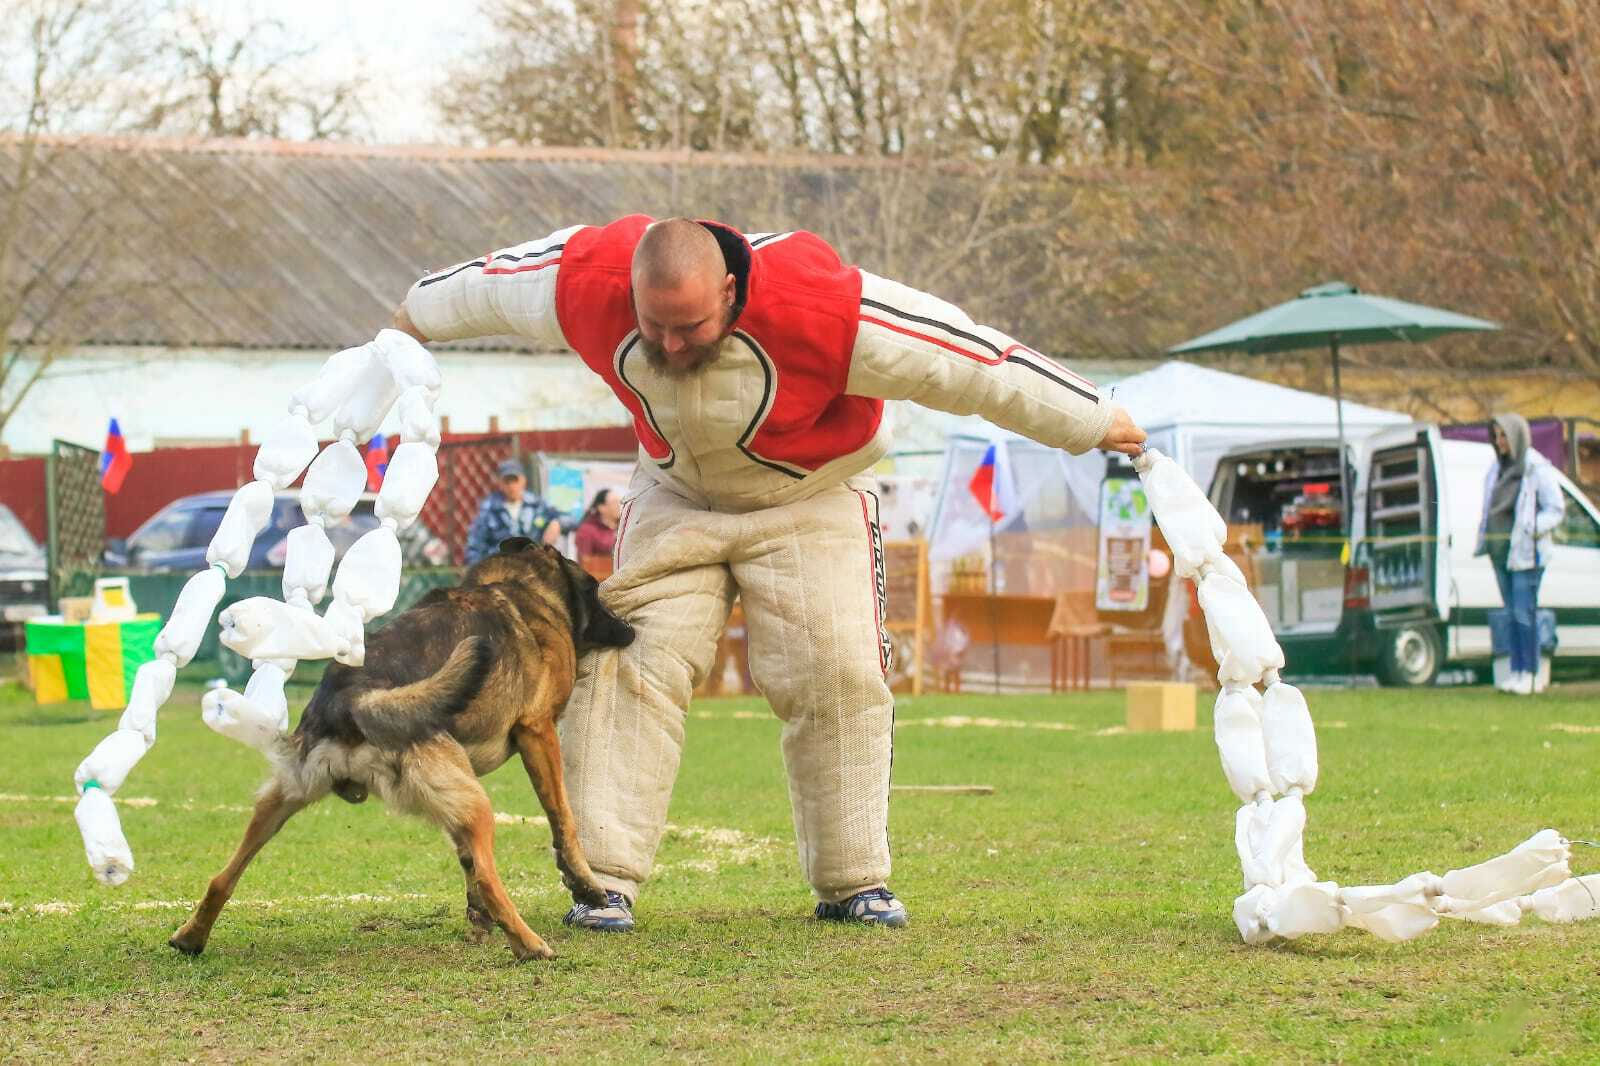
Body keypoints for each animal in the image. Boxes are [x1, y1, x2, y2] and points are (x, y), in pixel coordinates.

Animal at [167, 534, 630, 960]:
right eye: (595, 591)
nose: (631, 631)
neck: (520, 587)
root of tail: (351, 698)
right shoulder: (538, 732)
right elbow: (563, 818)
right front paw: (587, 885)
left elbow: (467, 858)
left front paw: (478, 917)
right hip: (476, 801)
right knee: (489, 876)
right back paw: (530, 945)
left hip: (282, 800)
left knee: (223, 876)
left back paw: (191, 936)